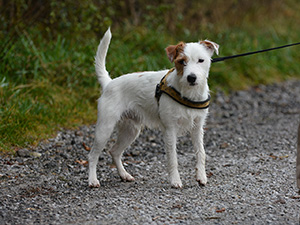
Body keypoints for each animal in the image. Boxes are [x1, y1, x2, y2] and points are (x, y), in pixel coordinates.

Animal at [88, 28, 219, 188]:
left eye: (201, 60)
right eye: (182, 61)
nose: (191, 78)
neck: (188, 93)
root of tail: (109, 83)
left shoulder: (197, 128)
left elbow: (201, 153)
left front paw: (201, 176)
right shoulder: (170, 130)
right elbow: (173, 158)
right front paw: (175, 180)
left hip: (130, 130)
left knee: (115, 151)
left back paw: (124, 175)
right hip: (104, 129)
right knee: (93, 155)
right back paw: (93, 180)